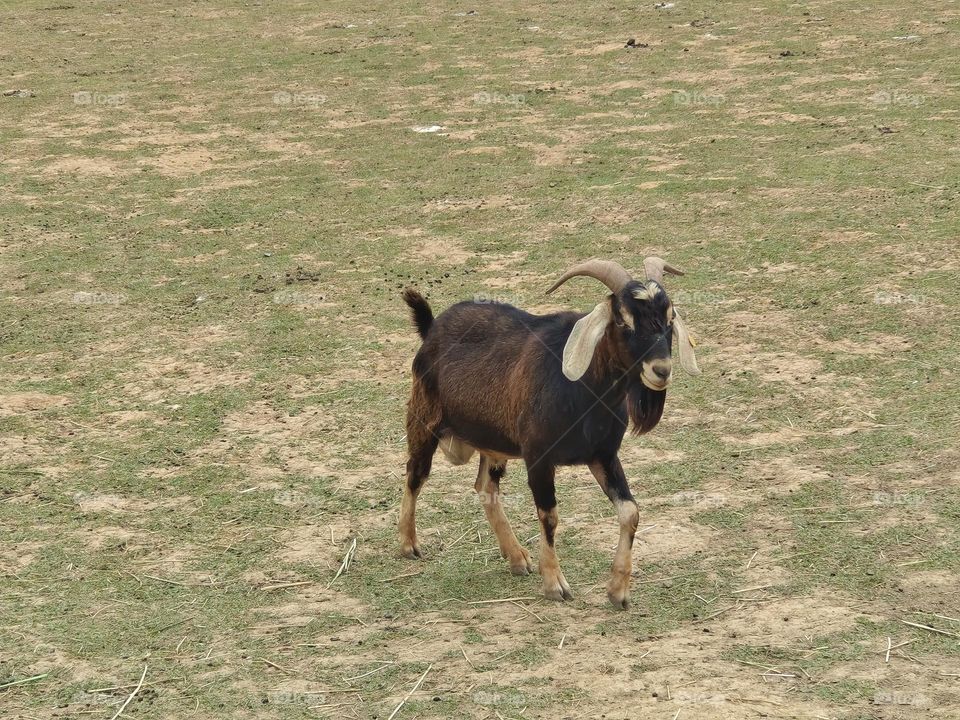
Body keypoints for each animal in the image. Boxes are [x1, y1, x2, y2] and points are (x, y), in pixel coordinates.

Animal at [398, 258, 700, 609]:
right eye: (623, 319)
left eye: (669, 318)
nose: (661, 370)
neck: (585, 392)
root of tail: (432, 328)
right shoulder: (539, 457)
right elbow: (550, 516)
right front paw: (555, 584)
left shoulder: (603, 455)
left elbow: (631, 511)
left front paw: (618, 591)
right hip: (424, 419)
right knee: (415, 474)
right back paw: (408, 544)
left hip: (493, 442)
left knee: (485, 487)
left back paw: (517, 558)